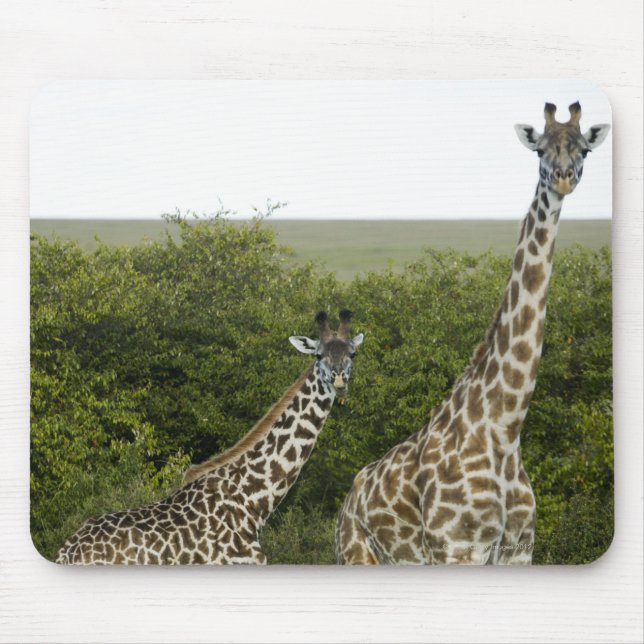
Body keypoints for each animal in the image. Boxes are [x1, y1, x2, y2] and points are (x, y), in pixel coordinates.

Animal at [335, 102, 610, 565]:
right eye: (540, 149)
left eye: (584, 150)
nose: (563, 177)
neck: (505, 427)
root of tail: (345, 506)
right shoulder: (456, 548)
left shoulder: (519, 549)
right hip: (355, 554)